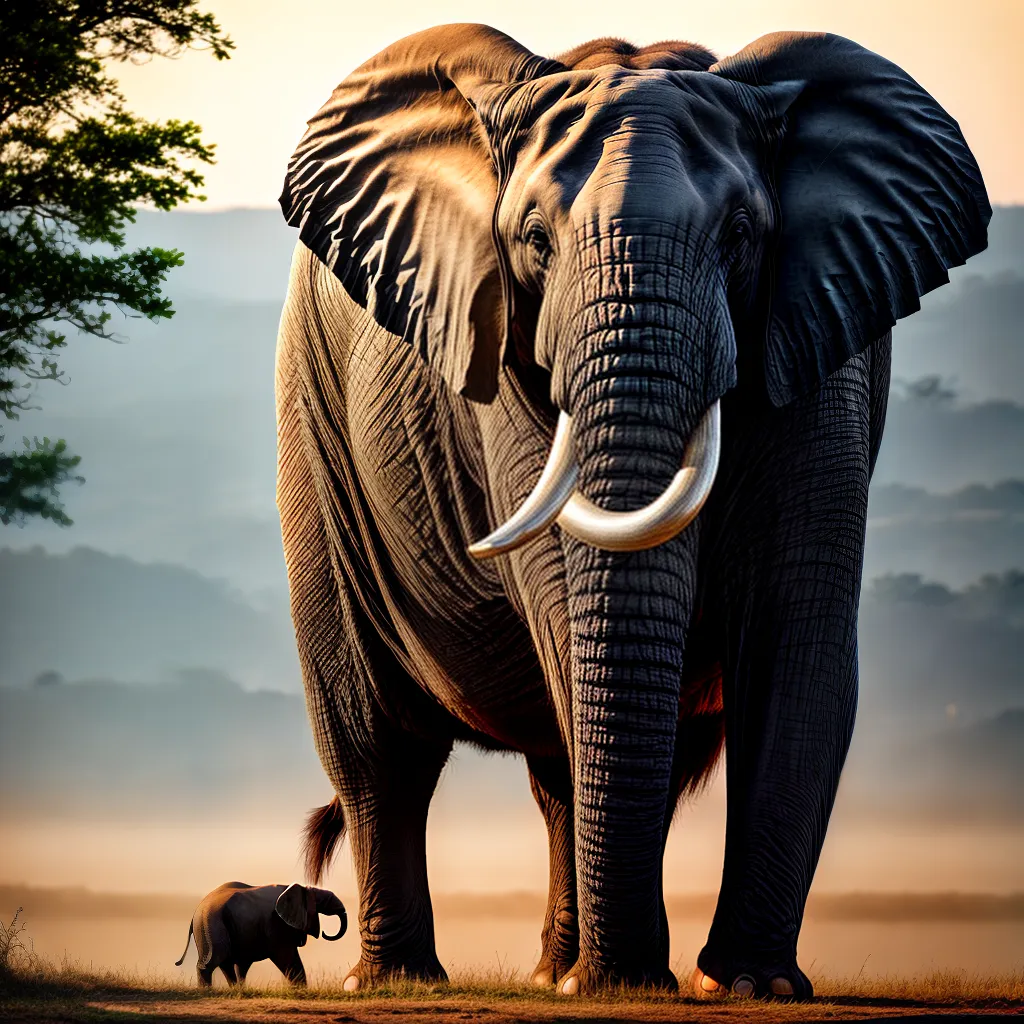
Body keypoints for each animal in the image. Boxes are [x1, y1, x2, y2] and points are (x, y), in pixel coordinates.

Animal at [174, 881, 346, 986]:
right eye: (326, 901)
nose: (325, 933)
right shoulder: (278, 925)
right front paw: (300, 992)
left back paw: (237, 990)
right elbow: (288, 958)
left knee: (228, 964)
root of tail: (196, 910)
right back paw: (207, 991)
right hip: (211, 924)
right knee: (214, 961)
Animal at [274, 23, 989, 999]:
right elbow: (569, 615)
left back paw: (555, 976)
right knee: (378, 744)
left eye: (740, 235)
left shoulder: (822, 330)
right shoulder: (508, 346)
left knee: (547, 770)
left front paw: (747, 986)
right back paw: (408, 982)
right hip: (313, 430)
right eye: (533, 239)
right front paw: (630, 984)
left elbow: (795, 639)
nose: (632, 978)